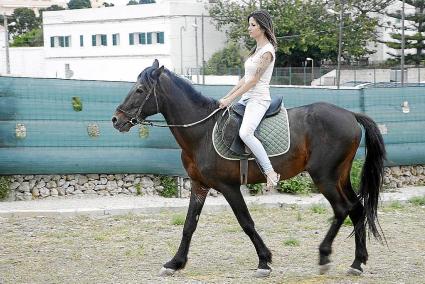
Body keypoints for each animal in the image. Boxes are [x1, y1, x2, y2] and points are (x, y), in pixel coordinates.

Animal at [112, 59, 384, 278]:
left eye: (140, 89)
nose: (117, 119)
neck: (202, 132)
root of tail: (350, 114)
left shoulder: (228, 187)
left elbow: (246, 223)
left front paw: (264, 261)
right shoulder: (199, 186)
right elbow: (189, 225)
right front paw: (174, 263)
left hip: (324, 177)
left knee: (342, 209)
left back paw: (324, 256)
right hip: (339, 177)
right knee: (357, 209)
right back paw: (357, 263)